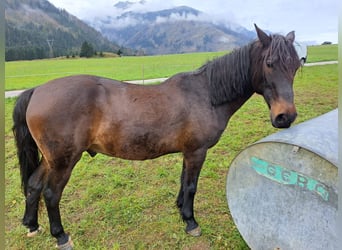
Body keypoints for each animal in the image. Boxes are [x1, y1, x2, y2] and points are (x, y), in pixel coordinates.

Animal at [11, 24, 300, 249]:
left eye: (296, 65)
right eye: (269, 64)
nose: (285, 117)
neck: (205, 94)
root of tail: (37, 90)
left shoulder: (189, 152)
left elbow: (184, 181)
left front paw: (181, 209)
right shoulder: (197, 151)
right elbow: (192, 185)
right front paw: (191, 222)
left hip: (50, 159)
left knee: (34, 185)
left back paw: (32, 225)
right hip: (63, 161)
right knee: (51, 193)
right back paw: (60, 236)